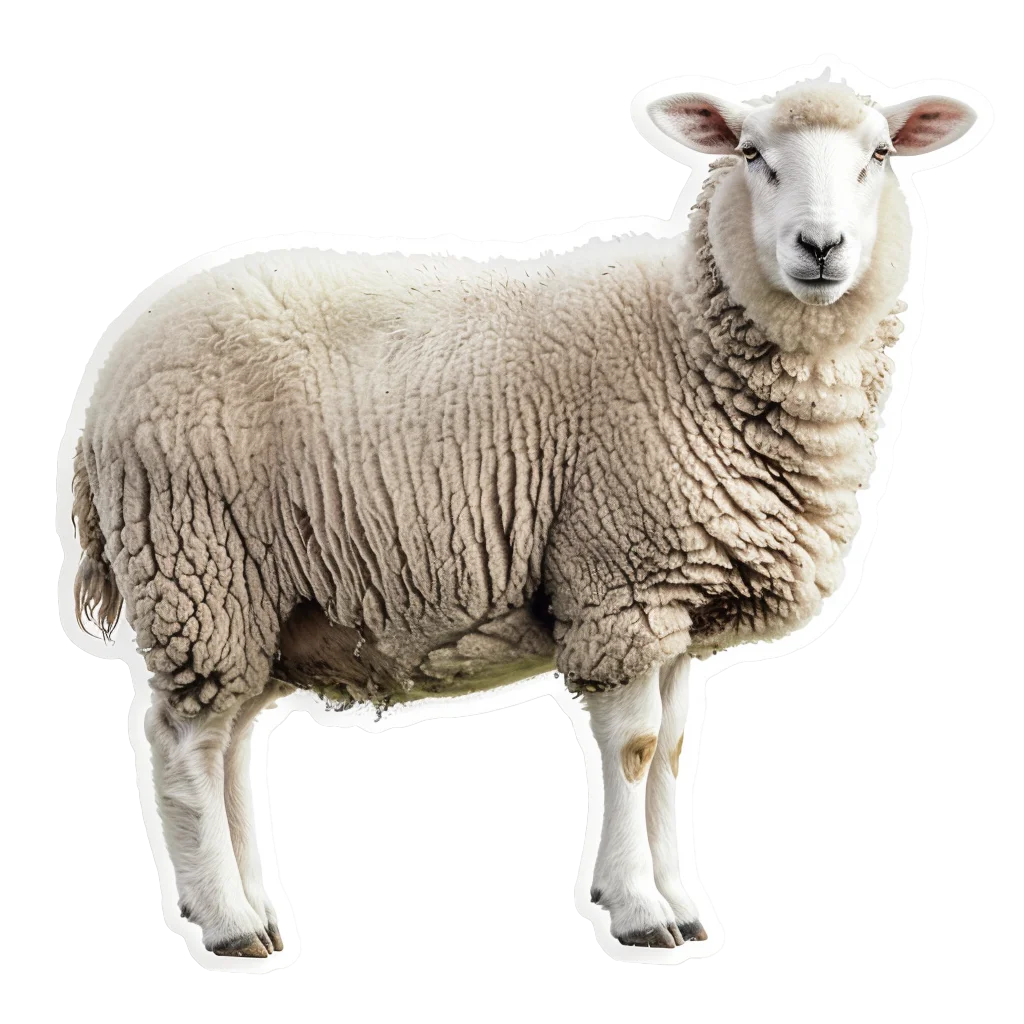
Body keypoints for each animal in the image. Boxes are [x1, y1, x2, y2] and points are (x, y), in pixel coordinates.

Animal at [68, 78, 979, 959]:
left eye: (880, 154)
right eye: (753, 155)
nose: (819, 248)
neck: (687, 334)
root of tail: (110, 373)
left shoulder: (677, 603)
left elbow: (675, 754)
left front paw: (683, 905)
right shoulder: (622, 583)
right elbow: (637, 749)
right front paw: (640, 910)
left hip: (255, 598)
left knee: (228, 747)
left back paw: (254, 907)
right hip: (195, 563)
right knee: (184, 744)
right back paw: (228, 923)